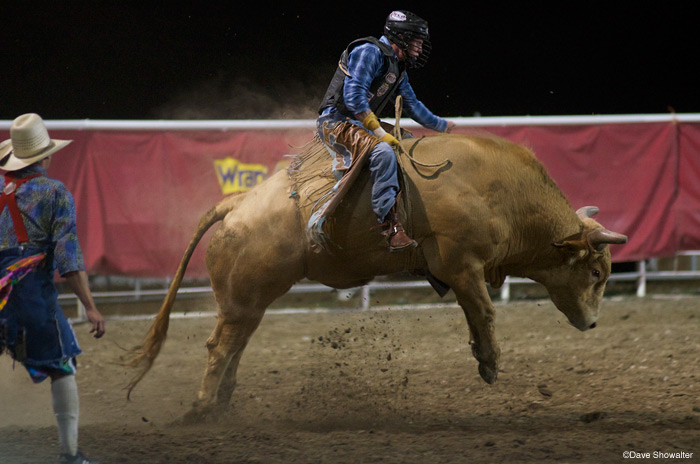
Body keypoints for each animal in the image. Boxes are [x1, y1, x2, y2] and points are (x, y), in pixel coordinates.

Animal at [127, 132, 628, 418]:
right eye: (597, 271)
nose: (593, 323)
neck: (503, 192)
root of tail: (238, 203)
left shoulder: (461, 271)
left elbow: (474, 312)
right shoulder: (460, 262)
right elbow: (483, 311)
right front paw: (489, 363)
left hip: (248, 302)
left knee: (235, 344)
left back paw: (222, 404)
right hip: (242, 299)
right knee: (221, 347)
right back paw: (201, 409)